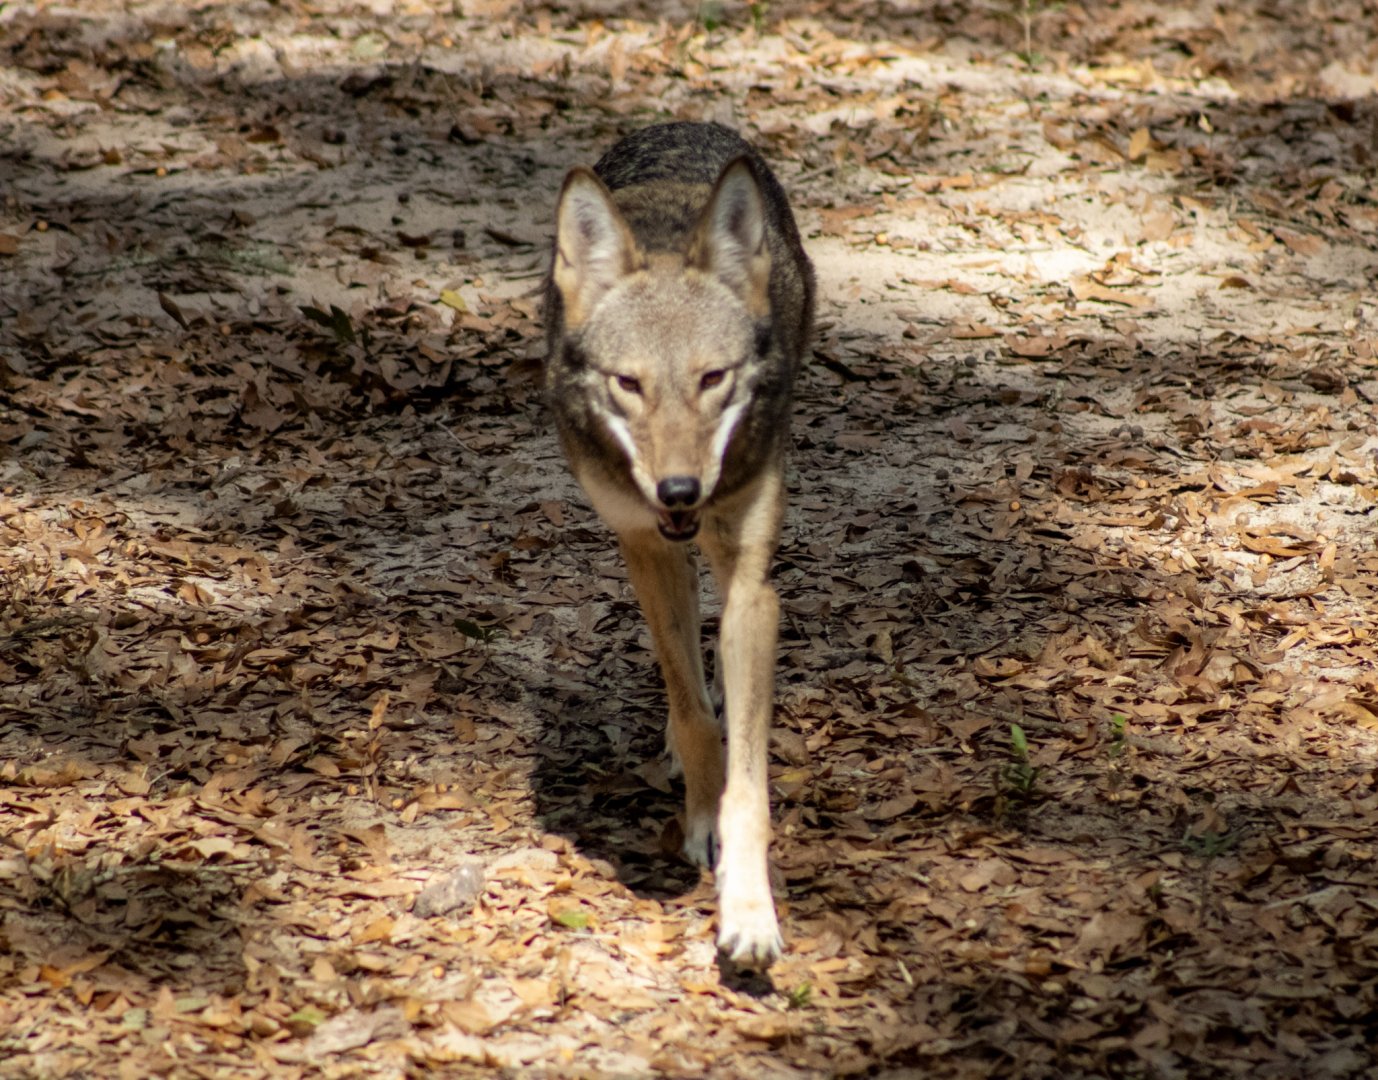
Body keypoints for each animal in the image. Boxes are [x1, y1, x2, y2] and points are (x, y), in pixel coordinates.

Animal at [544, 122, 815, 968]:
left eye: (712, 379)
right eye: (629, 384)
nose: (679, 490)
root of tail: (684, 124)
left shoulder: (754, 587)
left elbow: (749, 783)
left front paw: (749, 910)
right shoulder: (645, 544)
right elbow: (695, 716)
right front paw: (698, 819)